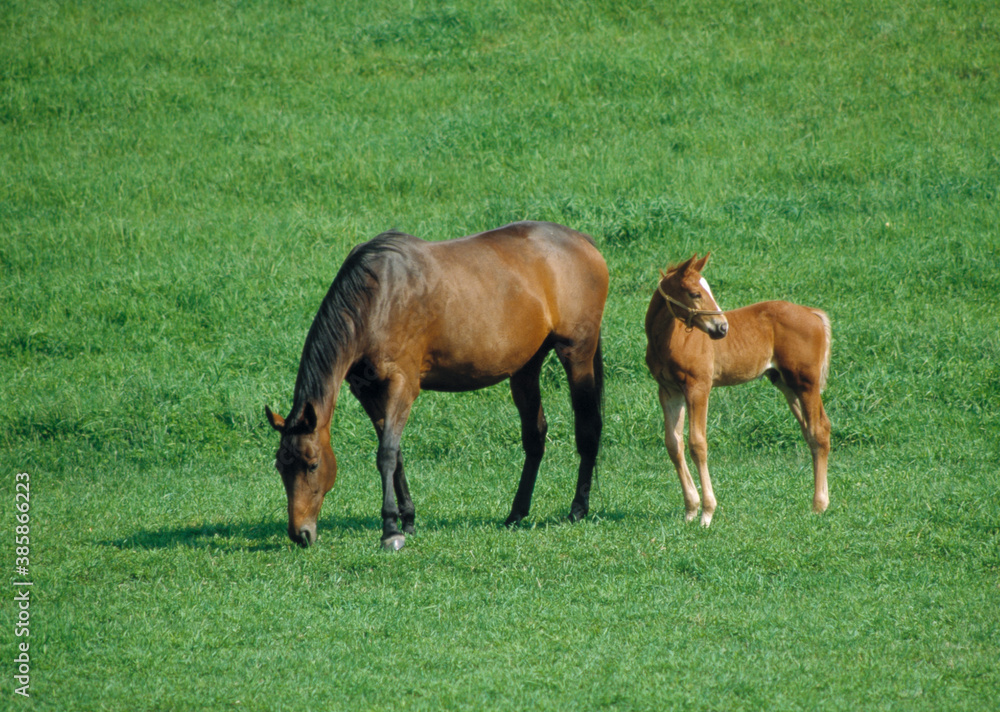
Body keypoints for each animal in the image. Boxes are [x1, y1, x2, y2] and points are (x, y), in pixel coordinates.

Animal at [265, 221, 608, 549]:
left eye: (312, 464)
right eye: (281, 467)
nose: (300, 534)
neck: (378, 297)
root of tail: (582, 240)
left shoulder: (402, 386)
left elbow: (386, 454)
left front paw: (390, 530)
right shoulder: (367, 392)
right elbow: (396, 455)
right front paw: (407, 520)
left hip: (577, 353)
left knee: (588, 428)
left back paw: (578, 508)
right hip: (526, 367)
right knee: (535, 437)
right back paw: (516, 513)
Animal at [644, 254, 831, 526]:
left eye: (708, 290)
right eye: (695, 293)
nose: (722, 328)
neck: (672, 338)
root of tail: (812, 313)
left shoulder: (698, 387)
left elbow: (697, 444)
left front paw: (707, 513)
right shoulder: (668, 390)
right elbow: (673, 444)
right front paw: (690, 510)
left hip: (806, 383)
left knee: (819, 431)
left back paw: (819, 505)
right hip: (786, 384)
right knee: (813, 430)